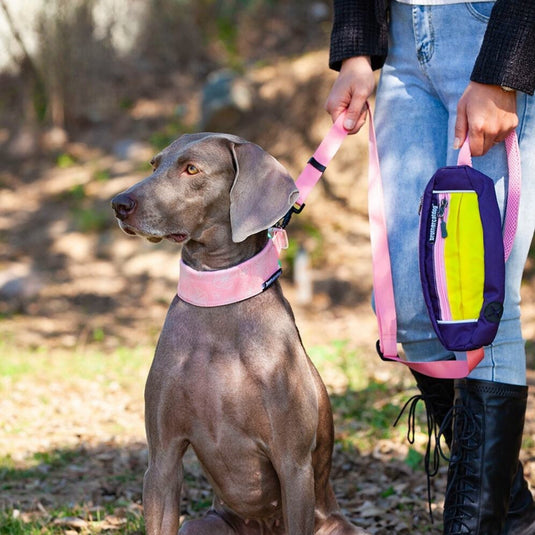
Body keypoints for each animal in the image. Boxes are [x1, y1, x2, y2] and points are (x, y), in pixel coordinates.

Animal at [111, 133, 370, 535]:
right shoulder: (162, 458)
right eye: (154, 165)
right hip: (202, 524)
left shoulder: (293, 463)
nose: (119, 203)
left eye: (191, 169)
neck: (219, 300)